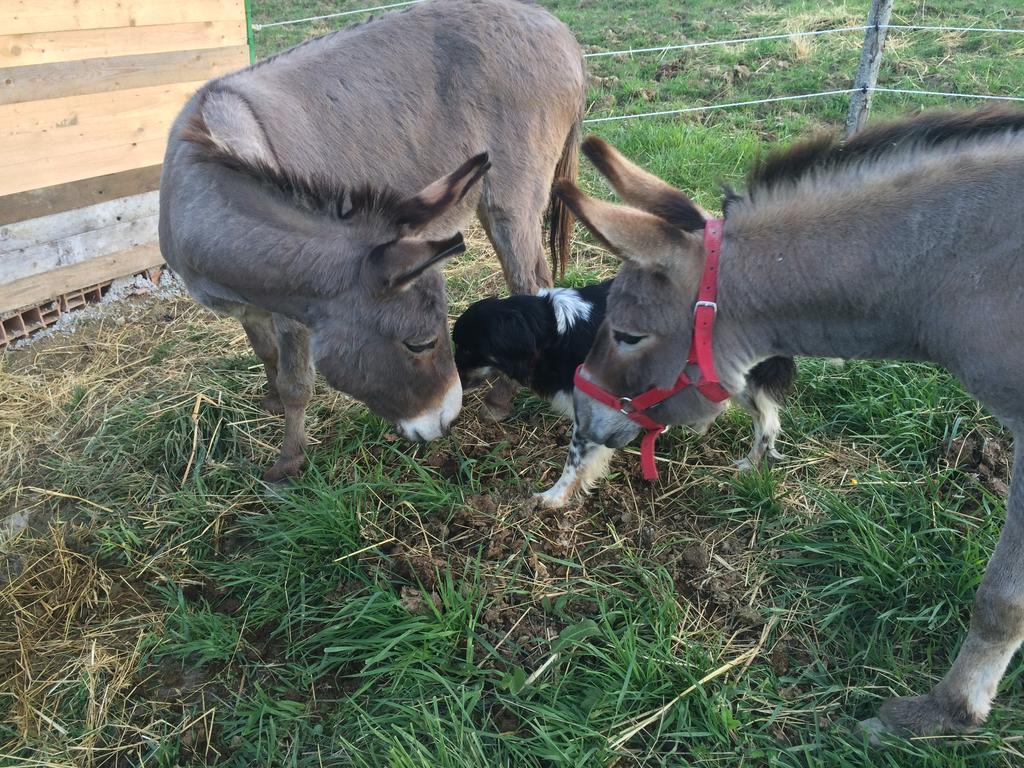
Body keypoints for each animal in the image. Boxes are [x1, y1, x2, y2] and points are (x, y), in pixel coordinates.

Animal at [450, 282, 790, 512]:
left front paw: (554, 498)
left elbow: (574, 463)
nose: (454, 388)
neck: (556, 332)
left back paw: (749, 463)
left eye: (467, 349)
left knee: (767, 422)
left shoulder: (594, 414)